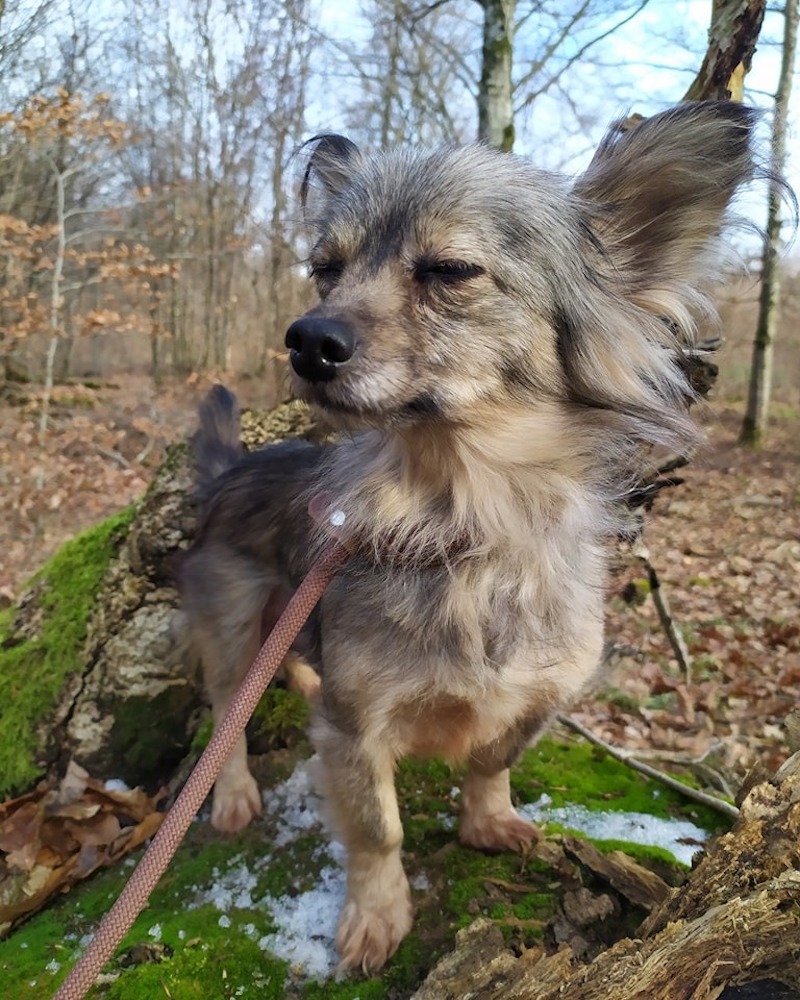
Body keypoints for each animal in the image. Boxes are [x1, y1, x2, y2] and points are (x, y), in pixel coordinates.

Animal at [178, 105, 760, 972]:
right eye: (326, 270)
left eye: (450, 270)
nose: (305, 340)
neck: (464, 519)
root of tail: (229, 473)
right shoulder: (356, 729)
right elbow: (377, 829)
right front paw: (377, 916)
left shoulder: (544, 693)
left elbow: (492, 757)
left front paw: (487, 822)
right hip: (230, 626)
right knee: (228, 713)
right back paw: (237, 792)